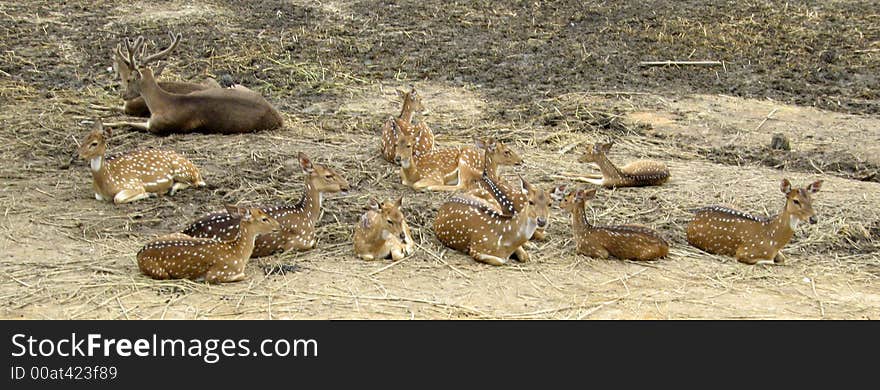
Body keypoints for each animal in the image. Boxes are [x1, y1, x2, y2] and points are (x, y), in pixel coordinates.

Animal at [77, 120, 205, 203]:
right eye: (83, 139)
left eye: (94, 143)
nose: (79, 155)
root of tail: (197, 170)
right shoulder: (98, 195)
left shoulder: (133, 184)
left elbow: (118, 198)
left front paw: (149, 194)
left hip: (182, 170)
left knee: (197, 183)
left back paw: (170, 189)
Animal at [107, 32, 282, 136]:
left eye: (129, 79)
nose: (123, 95)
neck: (161, 105)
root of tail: (279, 118)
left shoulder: (158, 126)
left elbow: (126, 121)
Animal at [139, 204, 280, 284]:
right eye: (264, 219)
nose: (278, 225)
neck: (238, 253)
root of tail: (139, 253)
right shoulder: (217, 273)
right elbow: (242, 275)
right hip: (160, 272)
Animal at [180, 153, 348, 258]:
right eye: (328, 176)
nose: (346, 185)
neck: (306, 215)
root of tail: (188, 230)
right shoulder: (299, 241)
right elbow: (311, 243)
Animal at [688, 179, 824, 266]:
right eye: (796, 201)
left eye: (811, 199)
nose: (814, 219)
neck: (774, 239)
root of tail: (694, 216)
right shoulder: (744, 252)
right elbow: (770, 261)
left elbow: (782, 258)